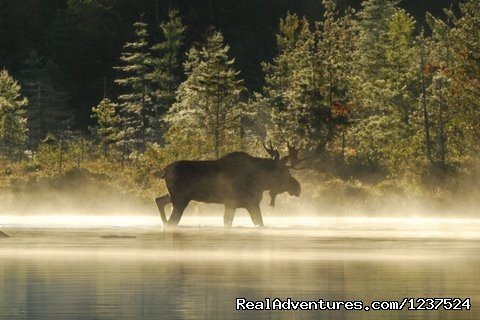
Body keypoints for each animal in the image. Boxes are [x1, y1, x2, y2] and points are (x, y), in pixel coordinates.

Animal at [156, 142, 302, 228]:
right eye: (285, 171)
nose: (298, 187)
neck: (262, 181)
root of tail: (164, 171)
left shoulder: (234, 204)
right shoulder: (247, 203)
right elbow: (258, 223)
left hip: (174, 196)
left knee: (159, 200)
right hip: (180, 199)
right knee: (171, 220)